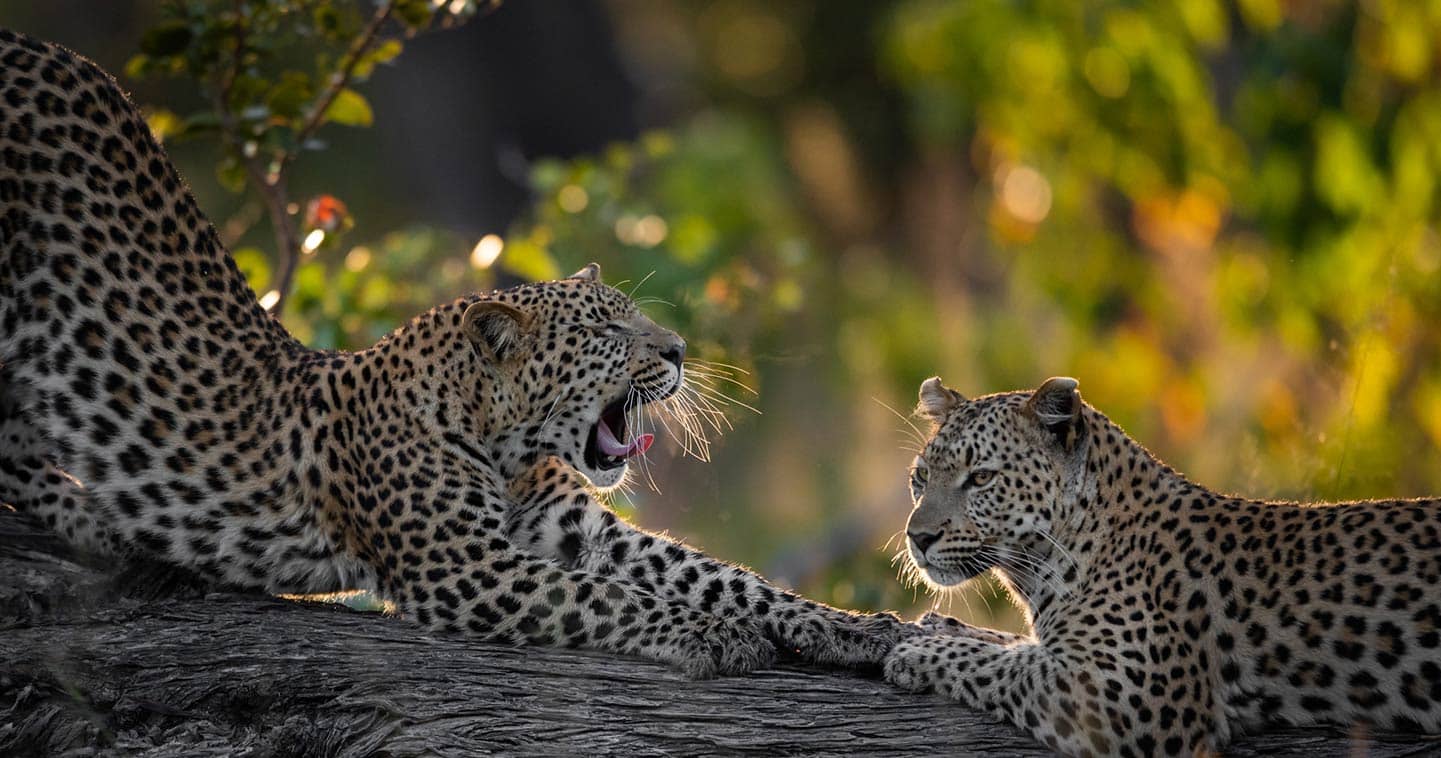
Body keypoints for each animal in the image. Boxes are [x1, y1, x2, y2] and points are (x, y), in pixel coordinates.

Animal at [0, 29, 899, 680]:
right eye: (610, 333)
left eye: (639, 322)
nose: (679, 351)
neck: (498, 437)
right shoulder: (465, 567)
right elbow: (612, 599)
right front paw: (712, 634)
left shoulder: (573, 525)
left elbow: (724, 575)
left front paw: (853, 628)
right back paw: (97, 519)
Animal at [887, 377, 1441, 755]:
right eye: (921, 477)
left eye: (981, 478)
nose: (918, 537)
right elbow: (1013, 644)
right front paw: (938, 626)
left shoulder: (1122, 695)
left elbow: (1004, 665)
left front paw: (917, 652)